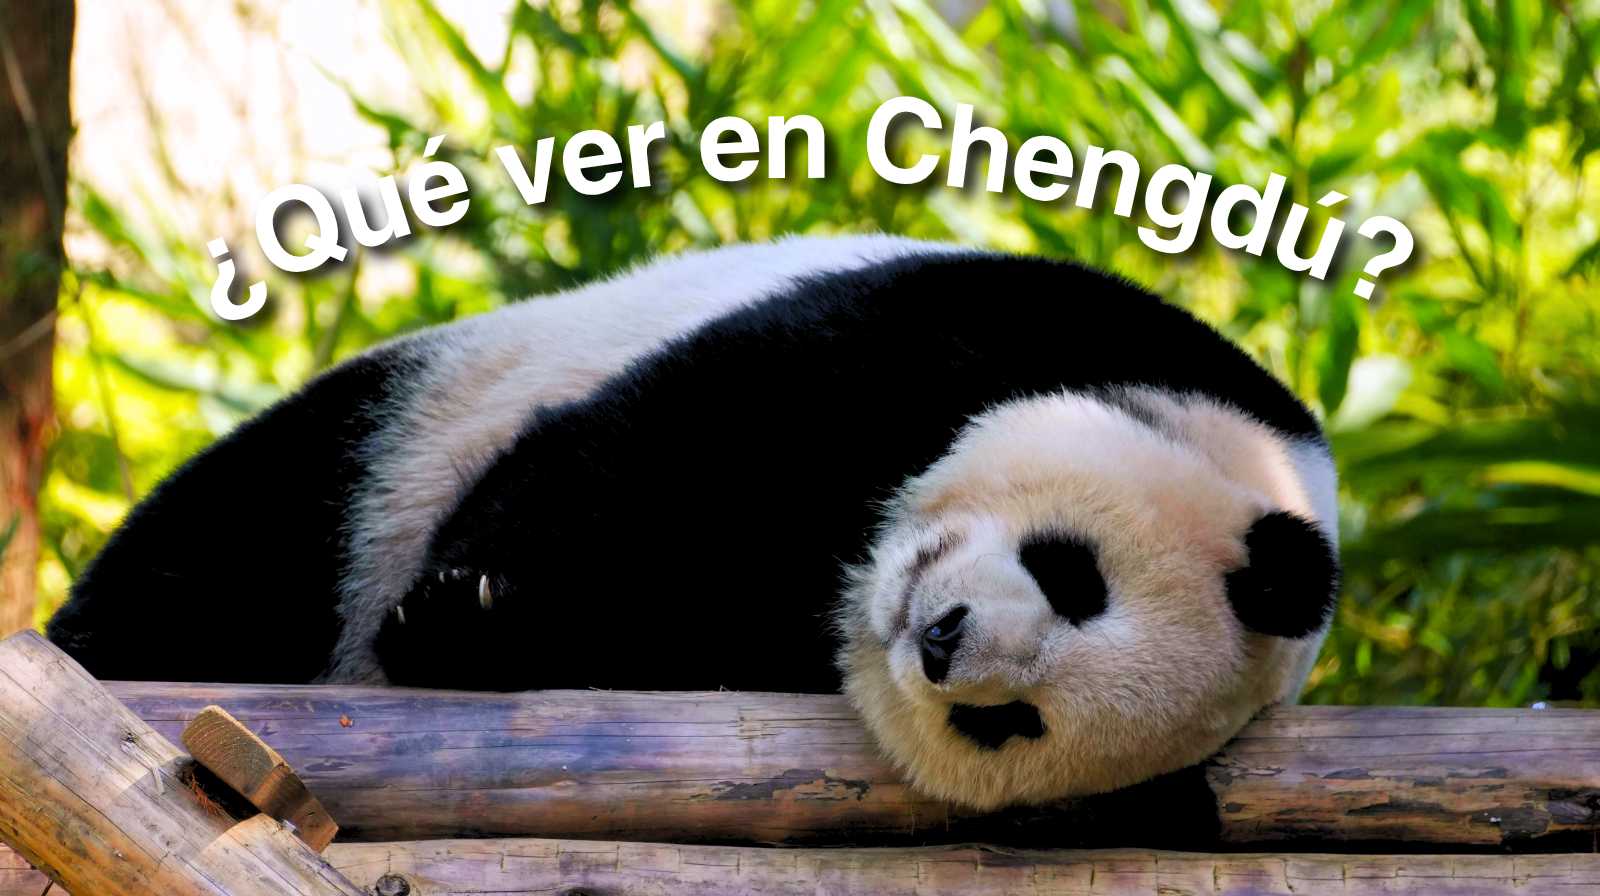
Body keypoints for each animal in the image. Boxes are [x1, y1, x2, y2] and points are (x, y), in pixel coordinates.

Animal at [47, 235, 1339, 810]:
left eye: (1009, 723)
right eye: (1075, 575)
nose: (941, 642)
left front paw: (477, 628)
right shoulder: (998, 331)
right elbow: (670, 441)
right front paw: (464, 610)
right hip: (396, 434)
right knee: (246, 536)